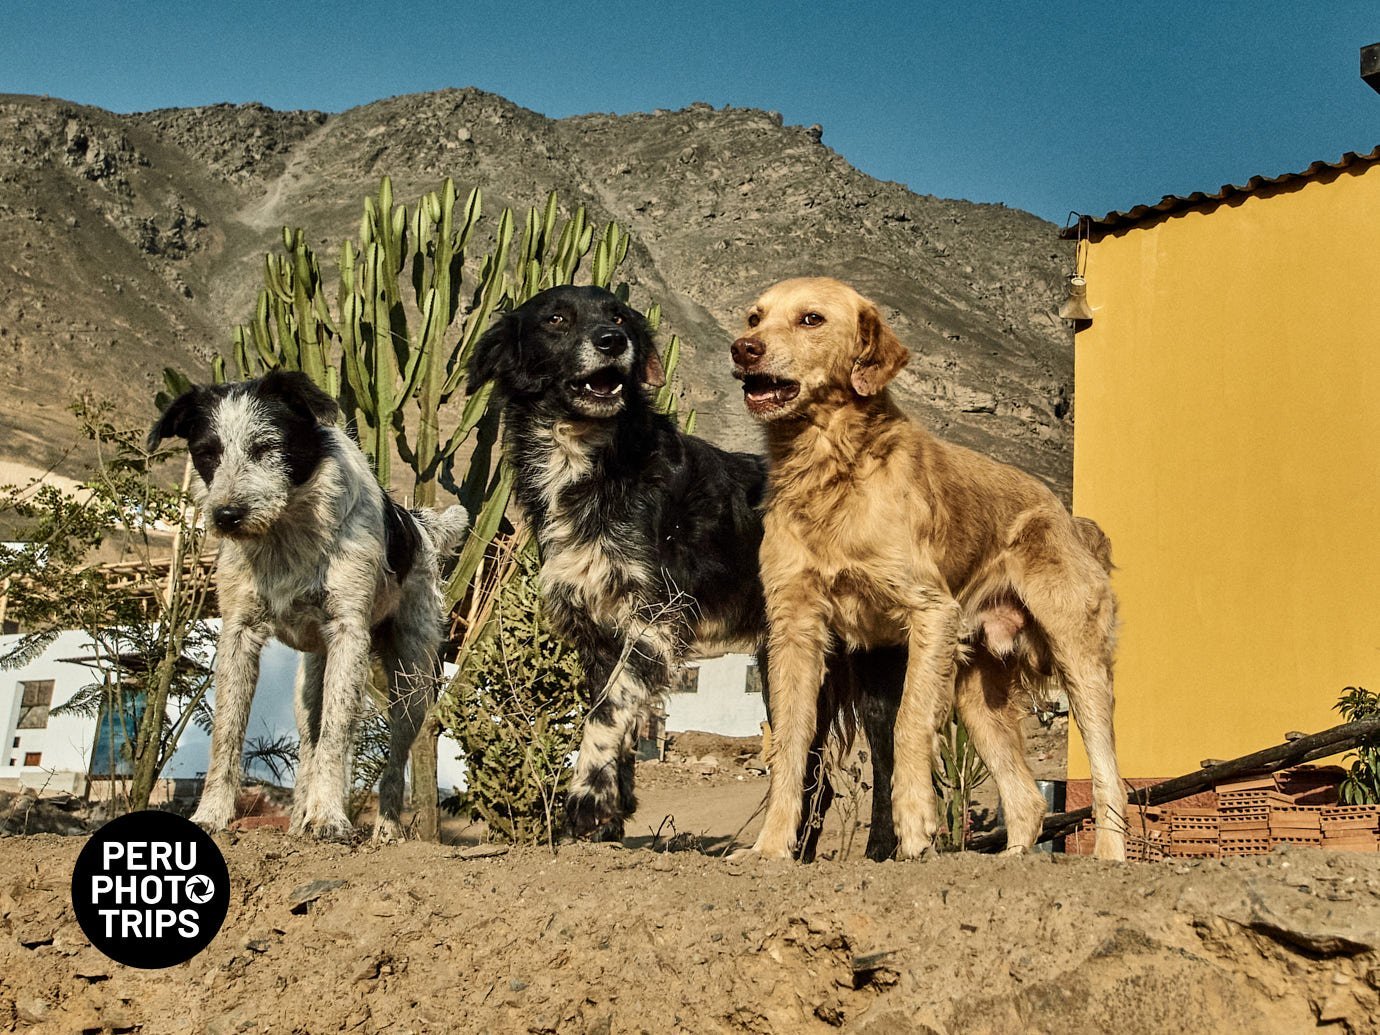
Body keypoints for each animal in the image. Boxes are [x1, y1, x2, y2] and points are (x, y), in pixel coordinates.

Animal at [146, 372, 469, 844]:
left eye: (265, 446)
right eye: (207, 453)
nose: (226, 515)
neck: (285, 538)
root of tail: (419, 526)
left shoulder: (349, 632)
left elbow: (337, 737)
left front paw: (330, 818)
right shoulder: (238, 633)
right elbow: (227, 734)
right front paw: (212, 814)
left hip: (410, 684)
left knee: (393, 759)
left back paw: (385, 829)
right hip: (308, 688)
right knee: (309, 744)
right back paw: (300, 818)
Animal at [469, 284, 905, 850]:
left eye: (619, 318)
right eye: (556, 319)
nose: (611, 342)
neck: (595, 462)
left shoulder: (652, 621)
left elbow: (606, 715)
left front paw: (586, 803)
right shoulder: (599, 630)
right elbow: (617, 716)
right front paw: (611, 816)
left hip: (870, 668)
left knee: (889, 762)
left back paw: (881, 849)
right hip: (787, 666)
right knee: (814, 778)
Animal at [728, 280, 1126, 861]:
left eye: (811, 319)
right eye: (755, 317)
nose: (743, 349)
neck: (830, 470)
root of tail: (1067, 517)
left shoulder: (930, 612)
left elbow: (908, 724)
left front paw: (915, 826)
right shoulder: (794, 628)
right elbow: (792, 745)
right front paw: (770, 847)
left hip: (1078, 660)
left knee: (1107, 773)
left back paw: (1110, 856)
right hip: (976, 688)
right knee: (1026, 797)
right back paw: (1014, 856)